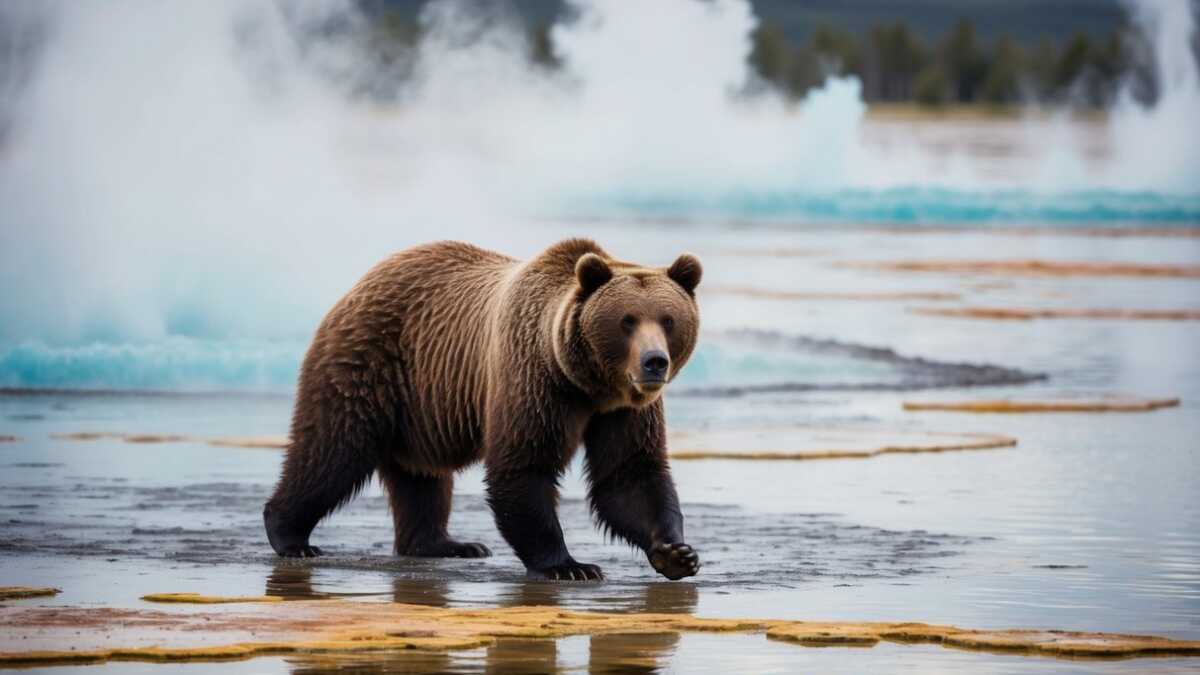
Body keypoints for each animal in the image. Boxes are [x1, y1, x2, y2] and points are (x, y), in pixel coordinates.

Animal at [265, 236, 700, 578]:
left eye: (668, 319)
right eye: (627, 320)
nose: (654, 362)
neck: (587, 383)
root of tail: (362, 281)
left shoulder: (623, 410)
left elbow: (629, 475)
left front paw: (676, 553)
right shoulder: (533, 379)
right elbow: (523, 466)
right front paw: (569, 565)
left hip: (419, 404)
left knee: (420, 477)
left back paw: (445, 544)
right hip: (369, 364)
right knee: (333, 450)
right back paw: (289, 534)